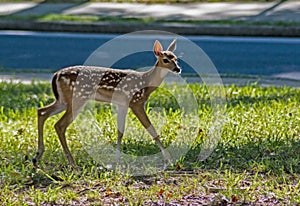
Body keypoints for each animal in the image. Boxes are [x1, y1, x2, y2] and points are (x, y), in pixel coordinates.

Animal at [34, 39, 182, 167]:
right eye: (165, 60)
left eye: (176, 59)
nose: (178, 69)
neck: (146, 83)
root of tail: (56, 75)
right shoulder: (136, 103)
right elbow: (151, 129)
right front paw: (168, 157)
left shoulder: (122, 104)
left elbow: (120, 131)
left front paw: (117, 159)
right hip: (77, 98)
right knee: (59, 125)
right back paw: (73, 164)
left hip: (62, 100)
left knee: (42, 111)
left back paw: (37, 156)